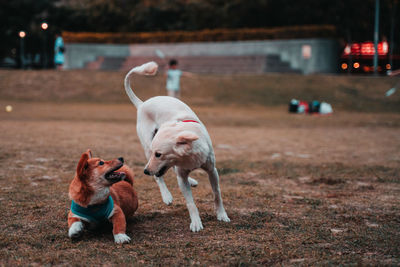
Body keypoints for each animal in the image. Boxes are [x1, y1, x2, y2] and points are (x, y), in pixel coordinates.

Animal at [125, 61, 231, 232]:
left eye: (159, 154)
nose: (145, 171)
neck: (189, 157)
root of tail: (142, 104)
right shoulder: (181, 178)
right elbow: (190, 202)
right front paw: (196, 222)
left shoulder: (212, 170)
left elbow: (217, 194)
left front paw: (222, 215)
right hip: (147, 146)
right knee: (158, 177)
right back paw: (166, 196)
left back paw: (191, 181)